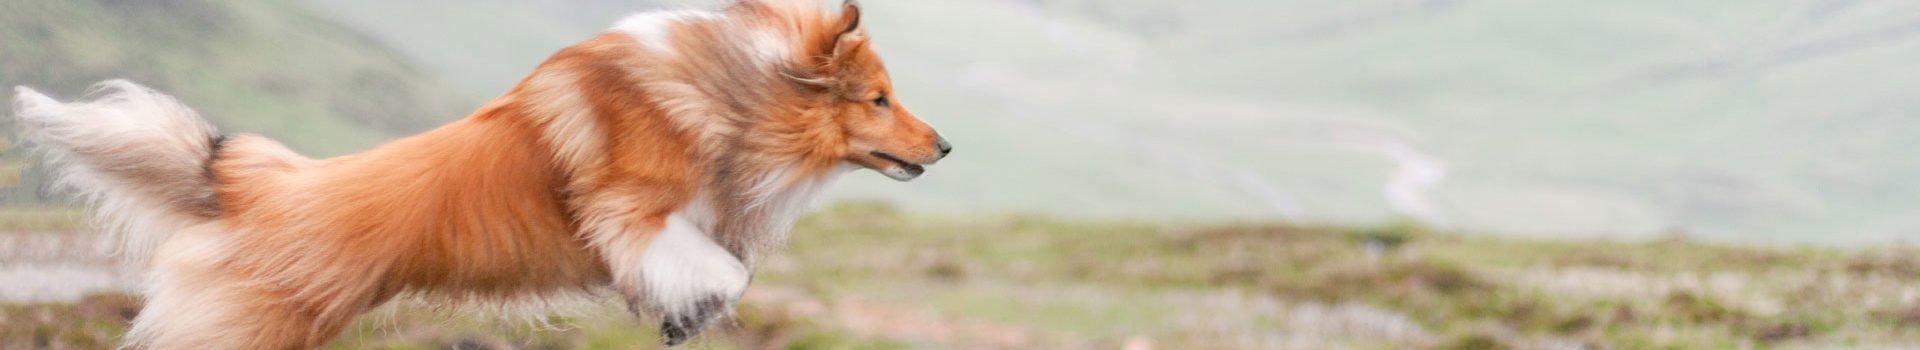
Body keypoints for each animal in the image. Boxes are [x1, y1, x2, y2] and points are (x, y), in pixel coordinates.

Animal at [9, 0, 944, 348]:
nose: (943, 149)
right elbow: (715, 267)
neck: (729, 85)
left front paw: (685, 315)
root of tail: (252, 182)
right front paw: (697, 304)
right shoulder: (632, 214)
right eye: (878, 98)